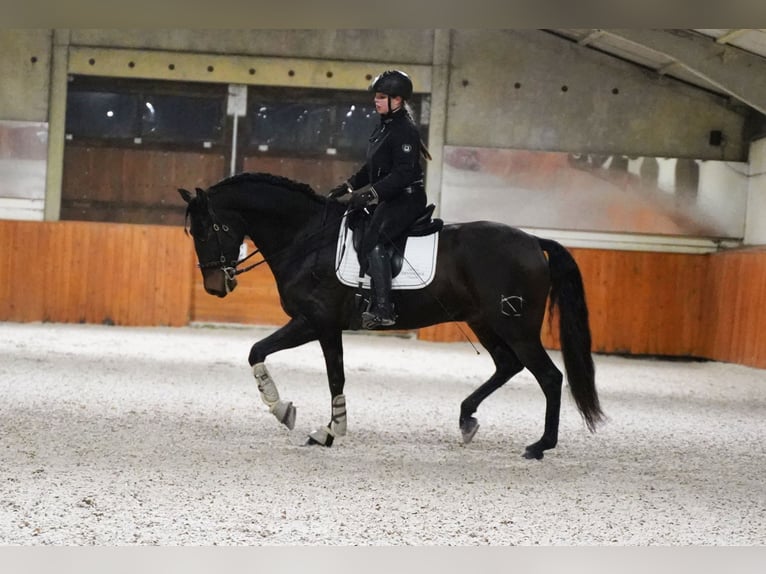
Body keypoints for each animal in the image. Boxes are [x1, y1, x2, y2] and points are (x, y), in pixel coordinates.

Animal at [180, 171, 608, 460]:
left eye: (210, 228)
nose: (216, 286)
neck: (307, 238)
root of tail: (534, 241)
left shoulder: (315, 322)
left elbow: (277, 357)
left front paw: (299, 417)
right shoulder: (324, 327)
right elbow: (304, 366)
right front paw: (321, 426)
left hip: (515, 326)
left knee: (549, 377)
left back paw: (540, 445)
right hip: (484, 321)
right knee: (507, 365)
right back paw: (467, 418)